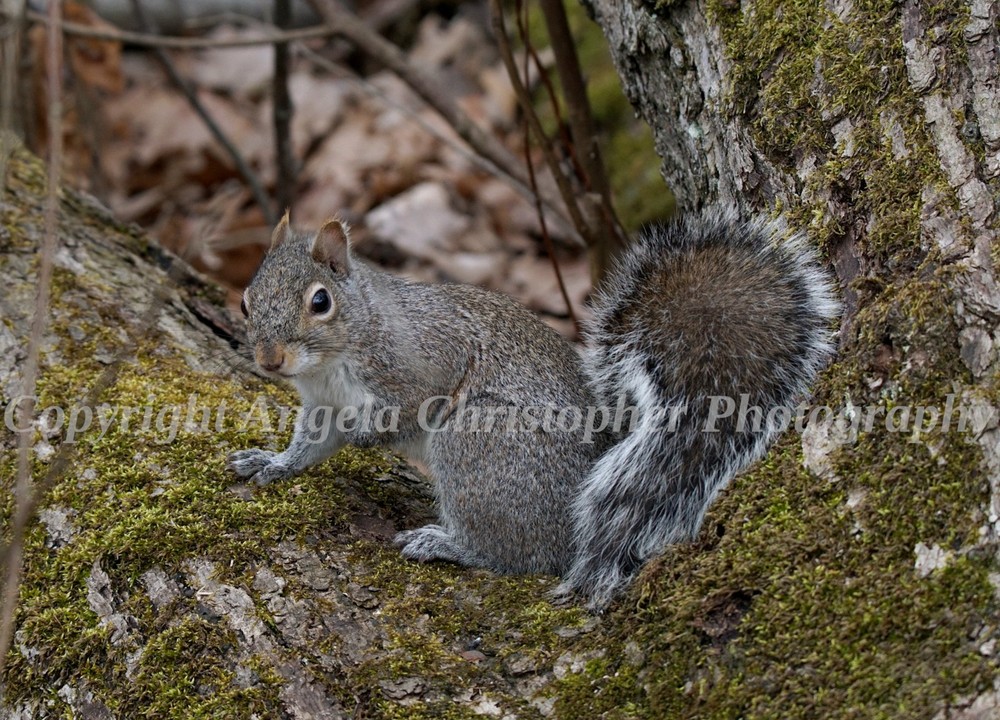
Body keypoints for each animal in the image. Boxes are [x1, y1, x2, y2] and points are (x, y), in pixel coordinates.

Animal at [227, 209, 839, 609]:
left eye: (320, 301)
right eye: (246, 299)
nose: (269, 359)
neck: (332, 362)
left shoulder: (424, 359)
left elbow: (410, 406)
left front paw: (369, 439)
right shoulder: (322, 405)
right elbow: (309, 446)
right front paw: (271, 463)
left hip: (480, 443)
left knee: (512, 553)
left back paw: (448, 544)